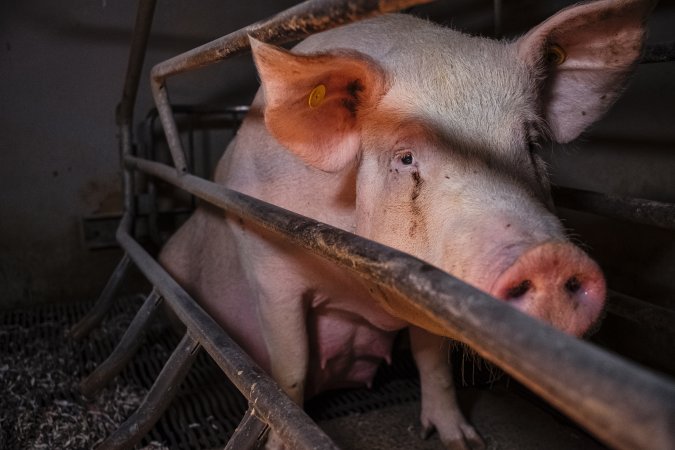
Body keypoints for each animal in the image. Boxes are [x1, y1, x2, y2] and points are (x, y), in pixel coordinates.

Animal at [159, 0, 654, 448]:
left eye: (532, 144)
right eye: (406, 157)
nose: (549, 259)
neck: (357, 289)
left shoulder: (425, 284)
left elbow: (431, 359)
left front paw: (461, 441)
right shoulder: (268, 265)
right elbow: (289, 372)